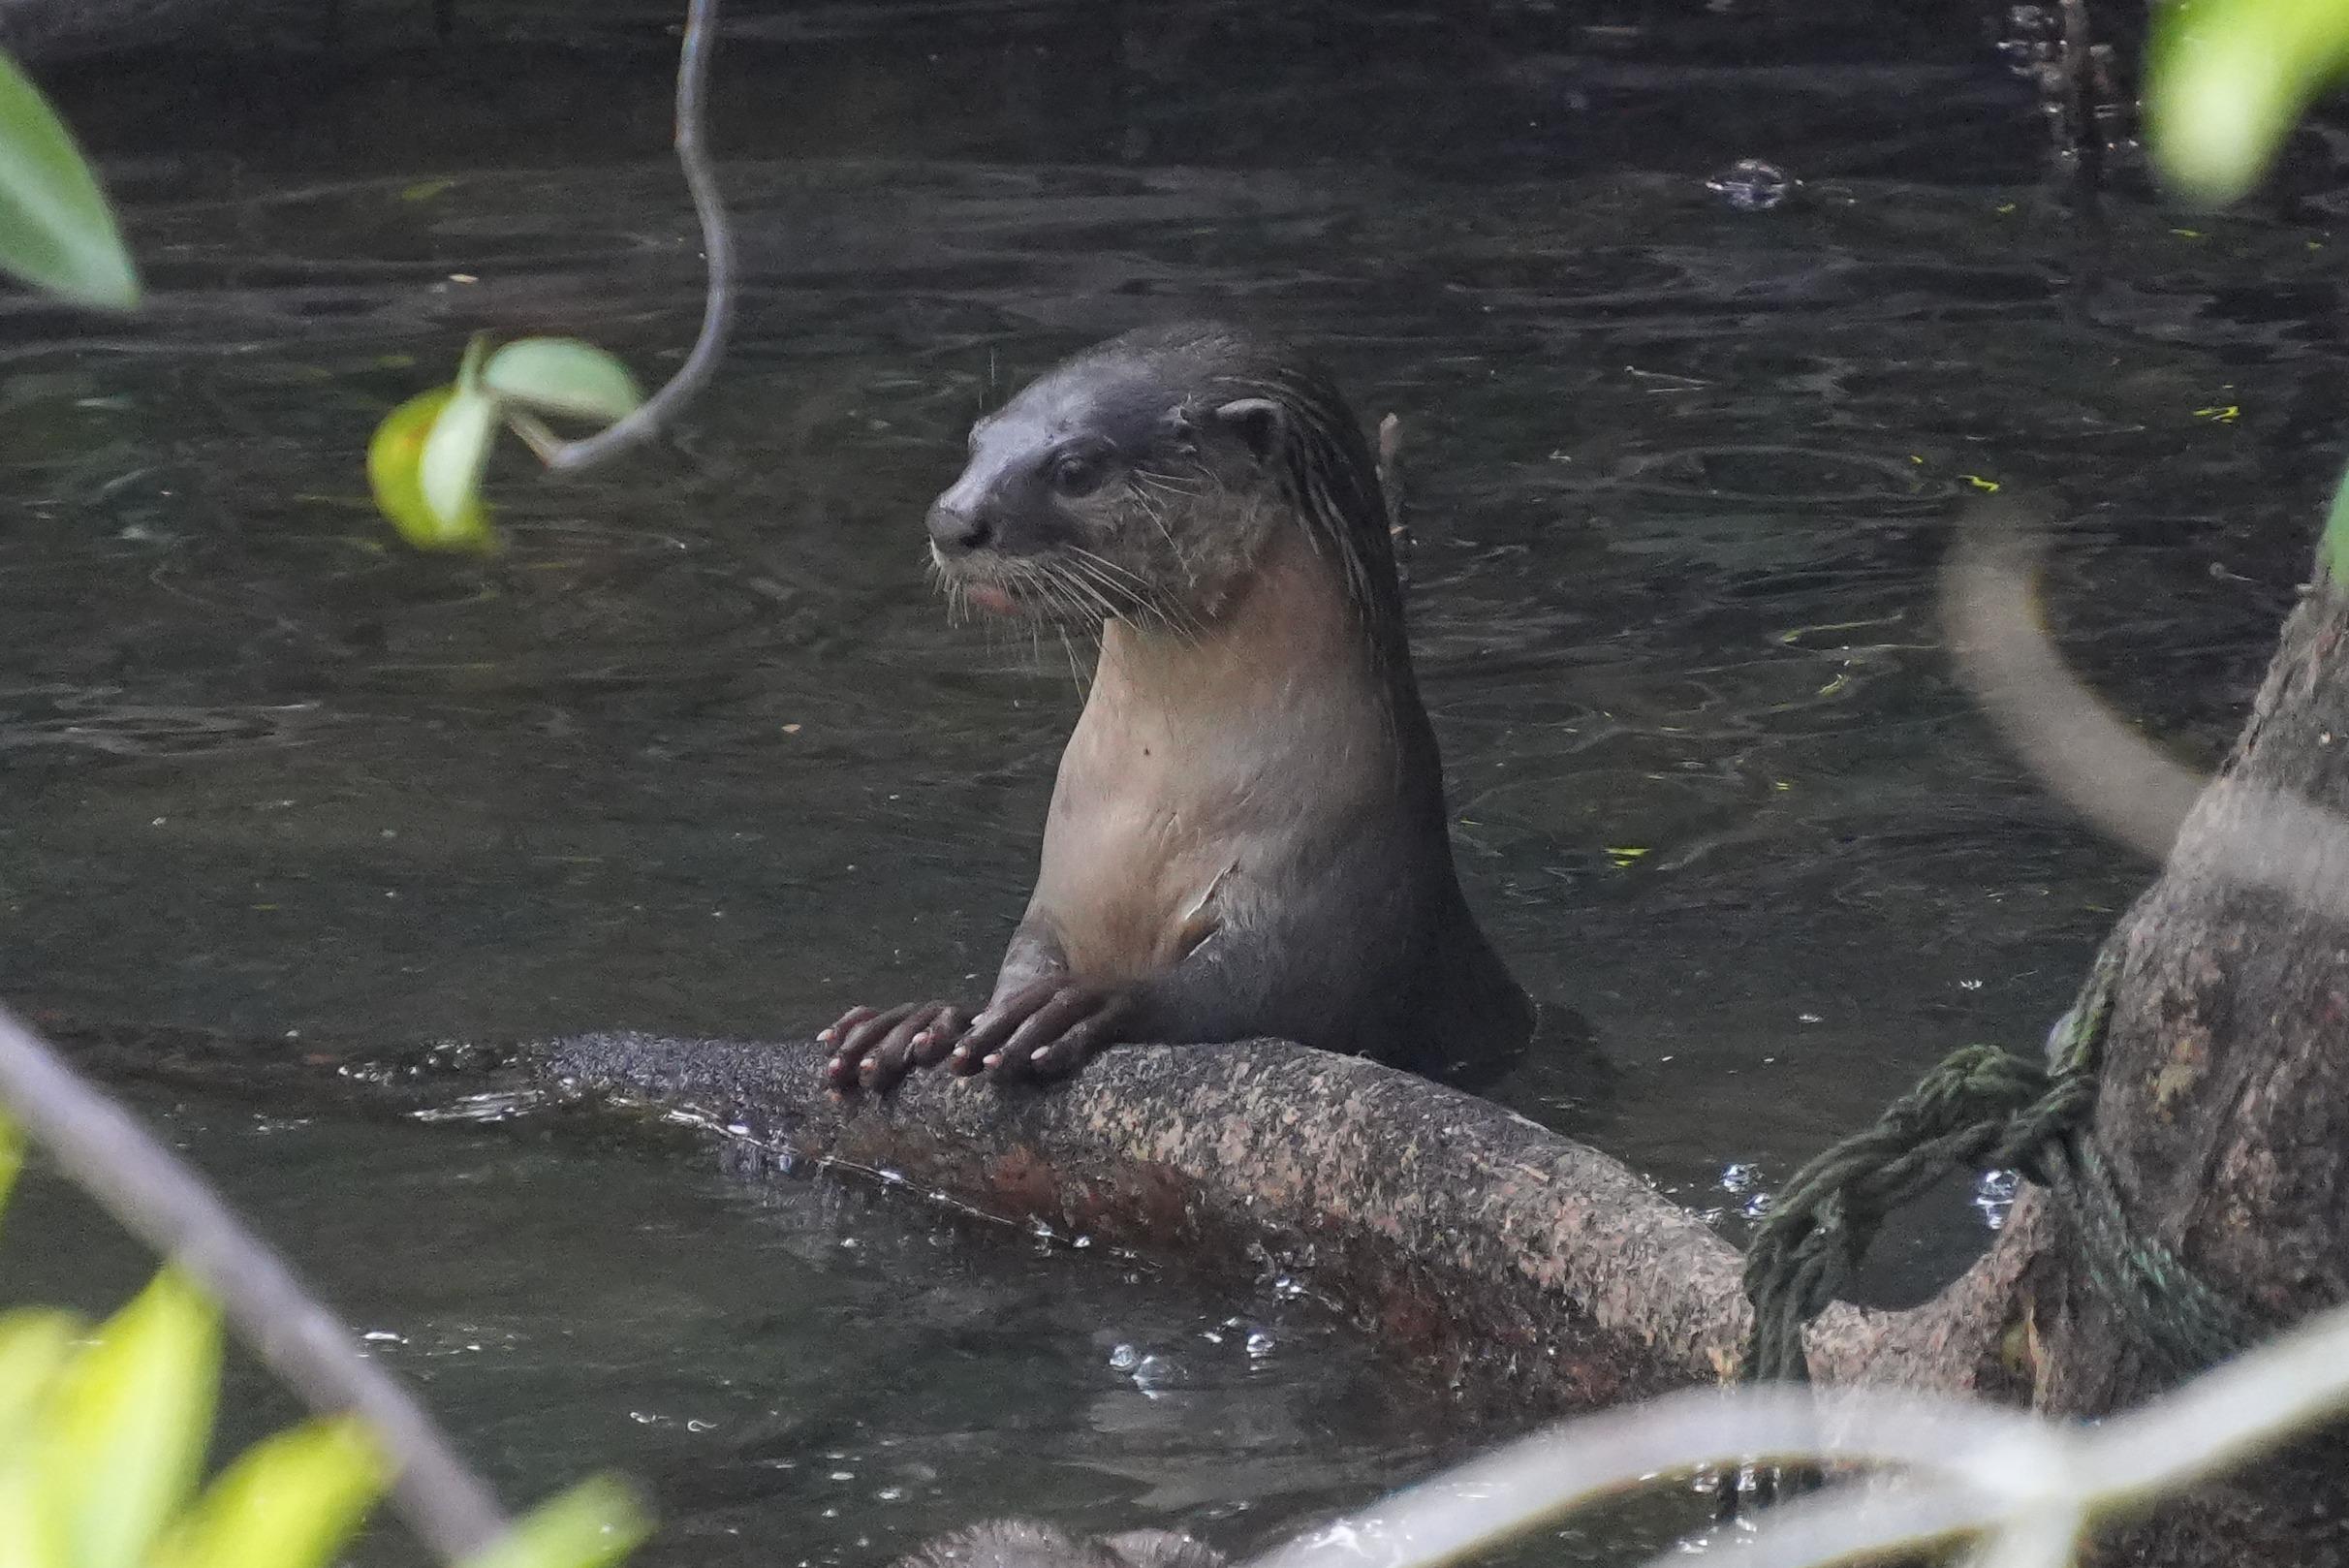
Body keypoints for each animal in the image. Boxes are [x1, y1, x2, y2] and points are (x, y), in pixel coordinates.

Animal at [822, 321, 1532, 1091]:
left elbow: (1264, 992)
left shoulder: (1338, 895)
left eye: (1076, 469)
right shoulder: (1061, 893)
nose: (950, 520)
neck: (1155, 804)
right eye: (977, 440)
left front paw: (1082, 1005)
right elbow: (1024, 954)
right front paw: (922, 1021)